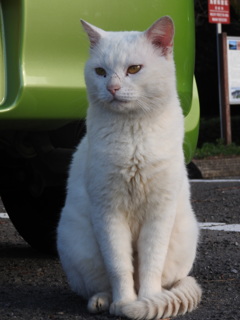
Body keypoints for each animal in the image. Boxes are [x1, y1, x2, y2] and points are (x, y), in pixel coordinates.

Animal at [57, 16, 202, 318]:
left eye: (134, 69)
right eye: (100, 71)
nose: (111, 88)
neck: (133, 133)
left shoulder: (159, 212)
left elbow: (150, 264)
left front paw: (146, 300)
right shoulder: (108, 212)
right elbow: (119, 266)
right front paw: (124, 303)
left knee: (168, 280)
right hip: (80, 245)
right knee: (99, 285)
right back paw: (103, 302)